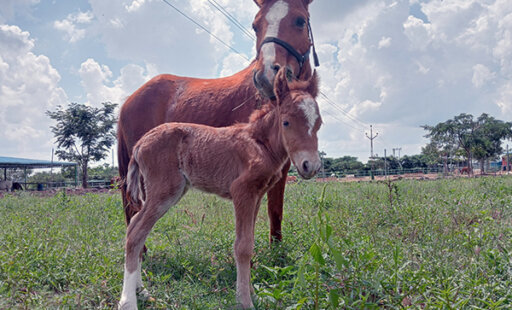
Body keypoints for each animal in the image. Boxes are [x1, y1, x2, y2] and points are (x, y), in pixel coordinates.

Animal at [117, 0, 316, 248]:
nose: (267, 77)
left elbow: (275, 208)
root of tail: (129, 99)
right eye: (255, 26)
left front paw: (276, 248)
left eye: (300, 21)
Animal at [118, 69, 322, 308]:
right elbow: (243, 246)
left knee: (135, 225)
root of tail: (139, 144)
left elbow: (249, 240)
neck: (260, 144)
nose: (310, 165)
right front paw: (245, 301)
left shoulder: (257, 195)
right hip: (165, 190)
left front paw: (253, 294)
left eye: (318, 123)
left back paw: (141, 290)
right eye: (286, 122)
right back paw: (128, 301)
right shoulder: (242, 191)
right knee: (136, 231)